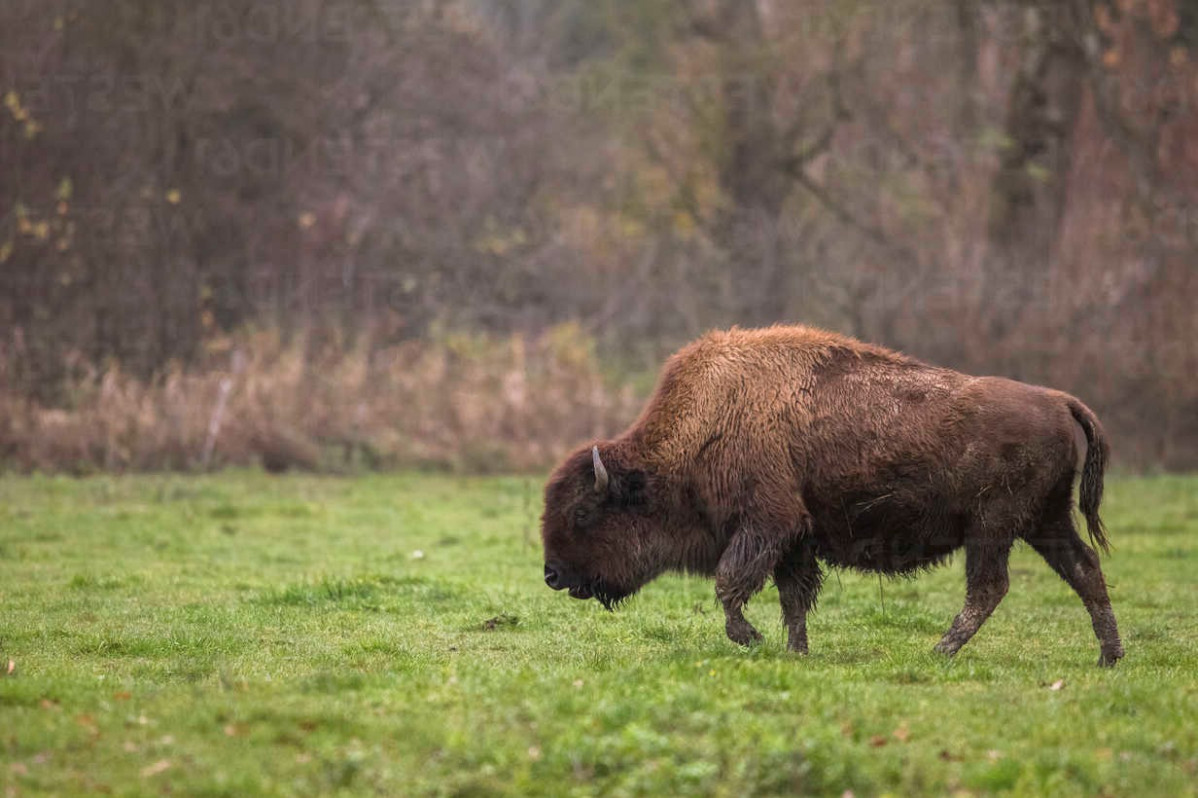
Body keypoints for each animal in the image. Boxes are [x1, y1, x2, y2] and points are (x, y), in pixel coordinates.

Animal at [543, 323, 1121, 666]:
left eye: (584, 511)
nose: (551, 575)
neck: (707, 423)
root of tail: (1058, 400)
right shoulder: (794, 539)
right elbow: (793, 597)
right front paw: (797, 652)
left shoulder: (766, 524)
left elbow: (731, 583)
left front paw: (752, 639)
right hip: (1044, 521)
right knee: (1084, 569)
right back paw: (1108, 657)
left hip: (993, 527)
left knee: (990, 587)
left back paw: (938, 651)